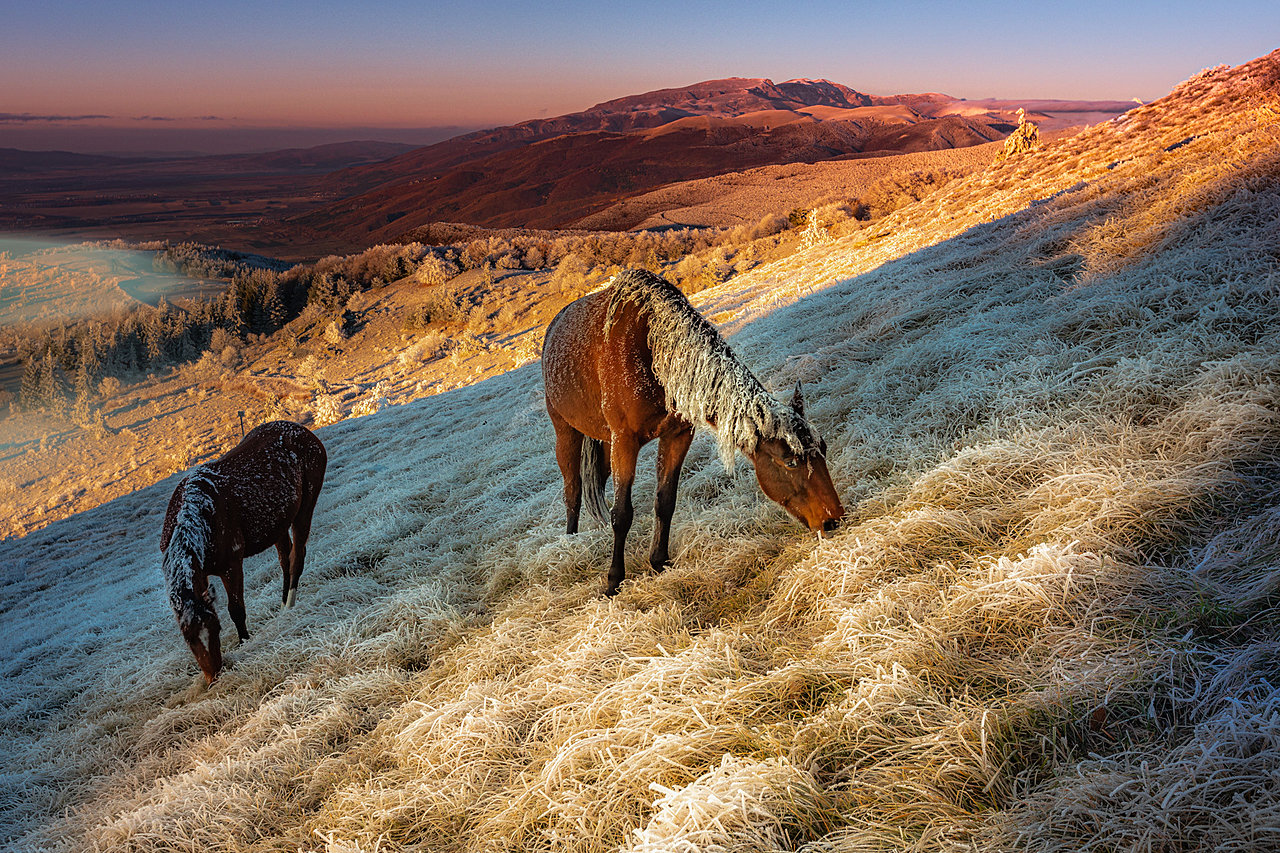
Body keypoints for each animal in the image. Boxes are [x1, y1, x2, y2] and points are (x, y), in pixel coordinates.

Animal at [160, 417, 327, 686]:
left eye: (216, 628)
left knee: (296, 559)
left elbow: (236, 609)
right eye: (188, 639)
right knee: (285, 560)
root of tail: (302, 430)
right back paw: (282, 606)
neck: (200, 515)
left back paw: (289, 608)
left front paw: (244, 641)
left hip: (304, 509)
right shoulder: (201, 574)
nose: (214, 676)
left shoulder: (231, 565)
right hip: (279, 524)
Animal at [545, 266, 844, 591]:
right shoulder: (625, 440)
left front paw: (659, 562)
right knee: (572, 489)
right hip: (566, 431)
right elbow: (621, 513)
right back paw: (571, 543)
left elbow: (665, 501)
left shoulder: (677, 434)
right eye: (790, 462)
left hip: (605, 441)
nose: (833, 520)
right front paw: (614, 581)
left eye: (824, 450)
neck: (654, 352)